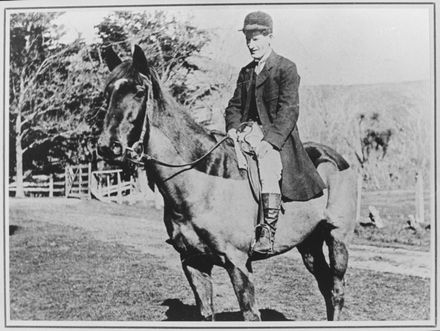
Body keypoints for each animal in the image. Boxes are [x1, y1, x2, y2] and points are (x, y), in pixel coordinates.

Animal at [97, 45, 358, 322]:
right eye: (108, 91)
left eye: (139, 91)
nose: (107, 146)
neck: (204, 183)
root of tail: (336, 157)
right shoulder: (193, 263)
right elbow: (206, 313)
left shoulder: (238, 262)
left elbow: (250, 314)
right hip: (308, 243)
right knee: (325, 285)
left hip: (337, 239)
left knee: (336, 290)